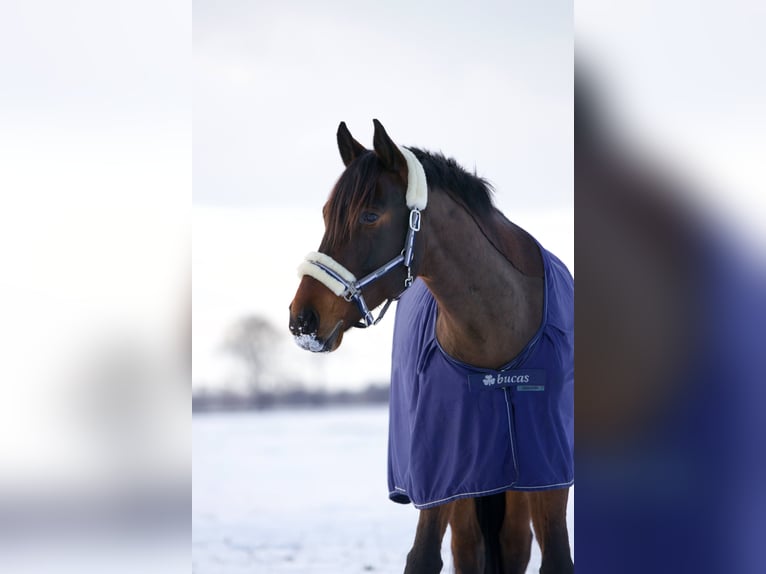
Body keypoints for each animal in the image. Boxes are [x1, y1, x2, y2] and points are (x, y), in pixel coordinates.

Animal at [288, 119, 574, 574]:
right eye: (326, 214)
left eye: (370, 215)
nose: (303, 318)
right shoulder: (442, 478)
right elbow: (422, 557)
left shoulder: (551, 474)